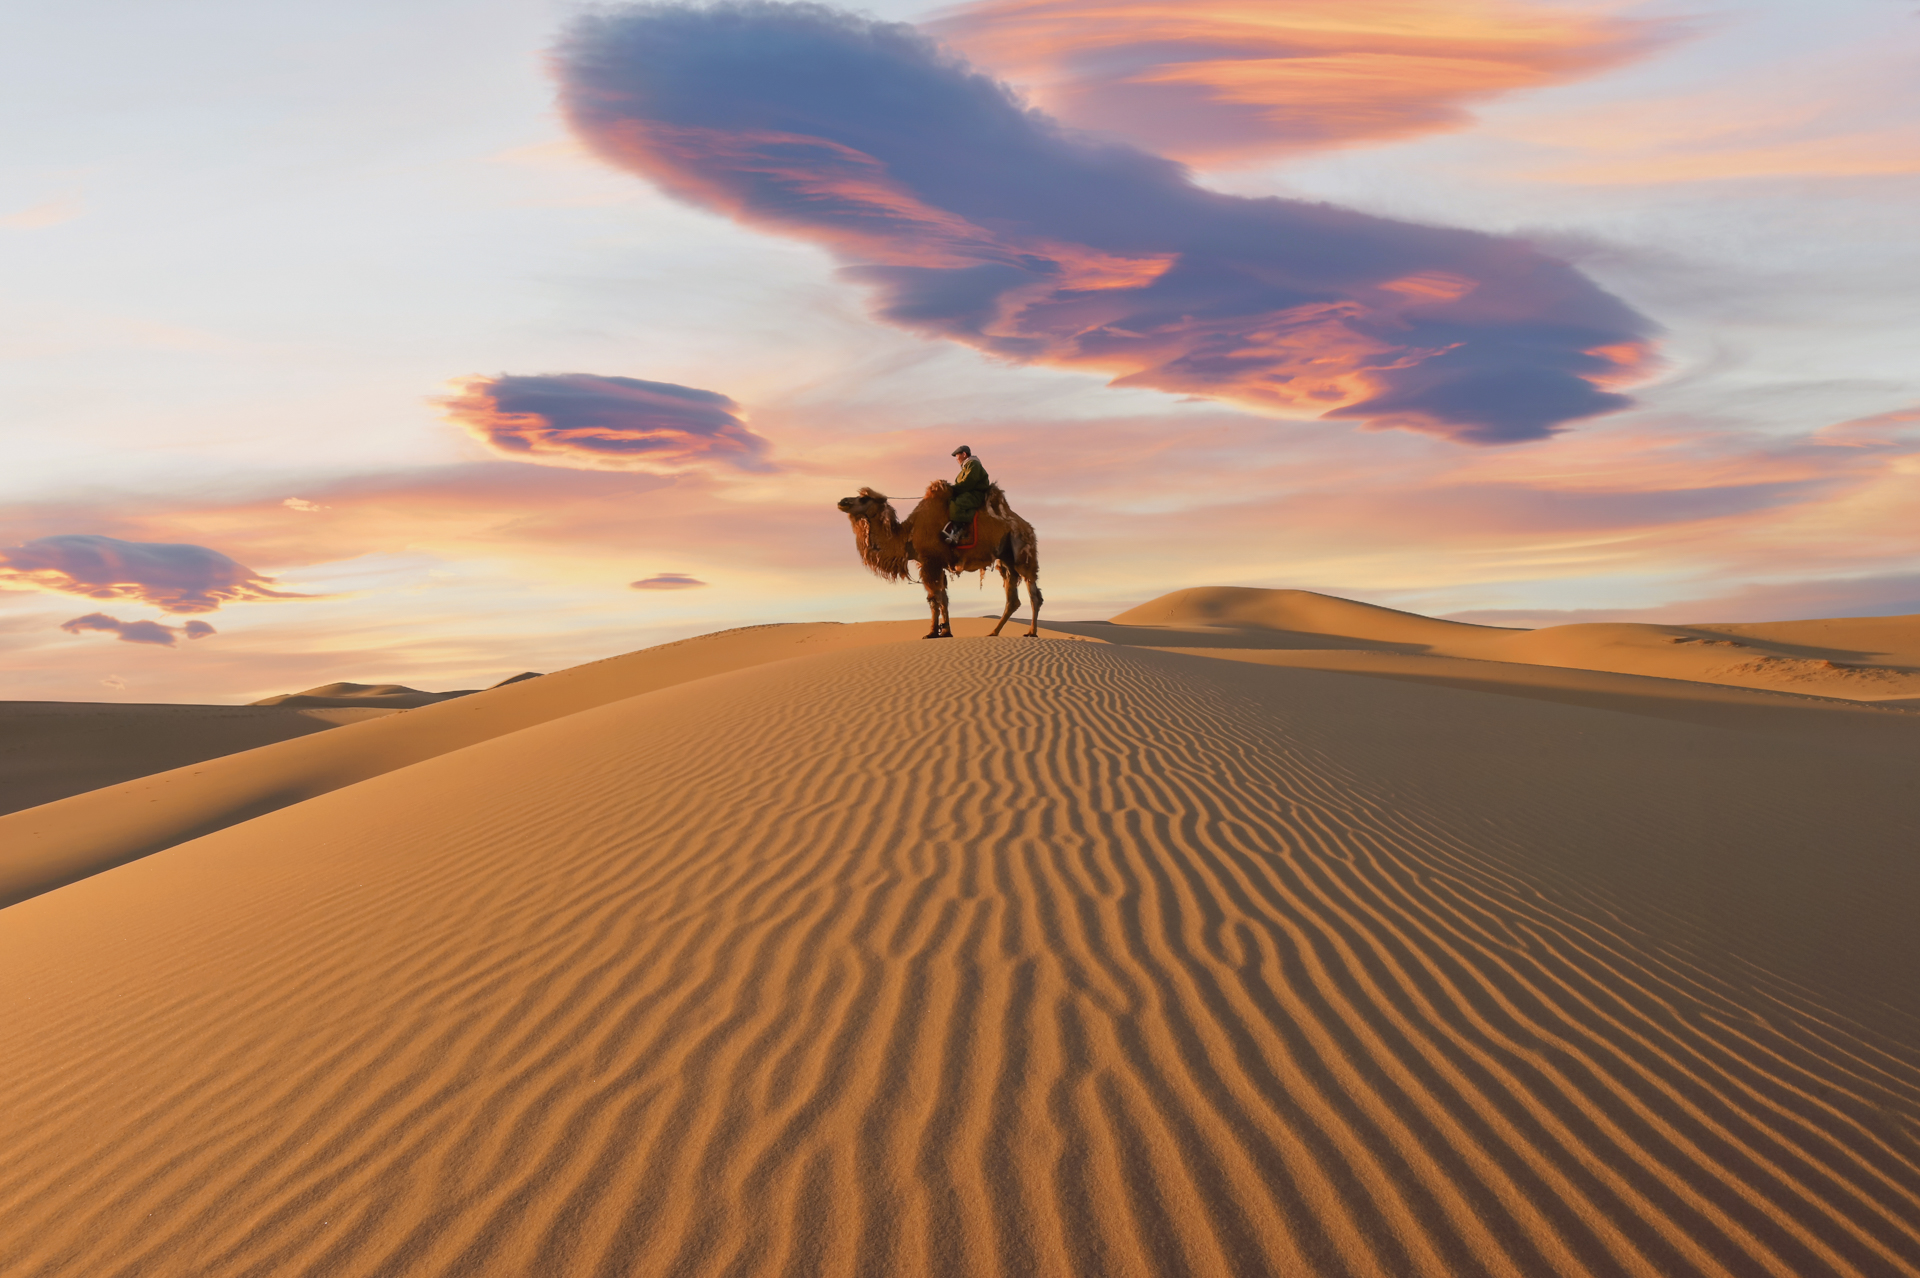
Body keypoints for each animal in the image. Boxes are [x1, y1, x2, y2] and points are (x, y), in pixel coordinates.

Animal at [840, 477, 1052, 637]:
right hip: (1005, 558)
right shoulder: (933, 564)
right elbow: (941, 598)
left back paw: (1032, 632)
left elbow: (935, 599)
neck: (907, 535)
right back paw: (993, 632)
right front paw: (943, 631)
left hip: (1022, 550)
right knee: (1012, 597)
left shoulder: (930, 562)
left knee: (1034, 593)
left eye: (864, 499)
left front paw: (935, 632)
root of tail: (1027, 527)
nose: (842, 501)